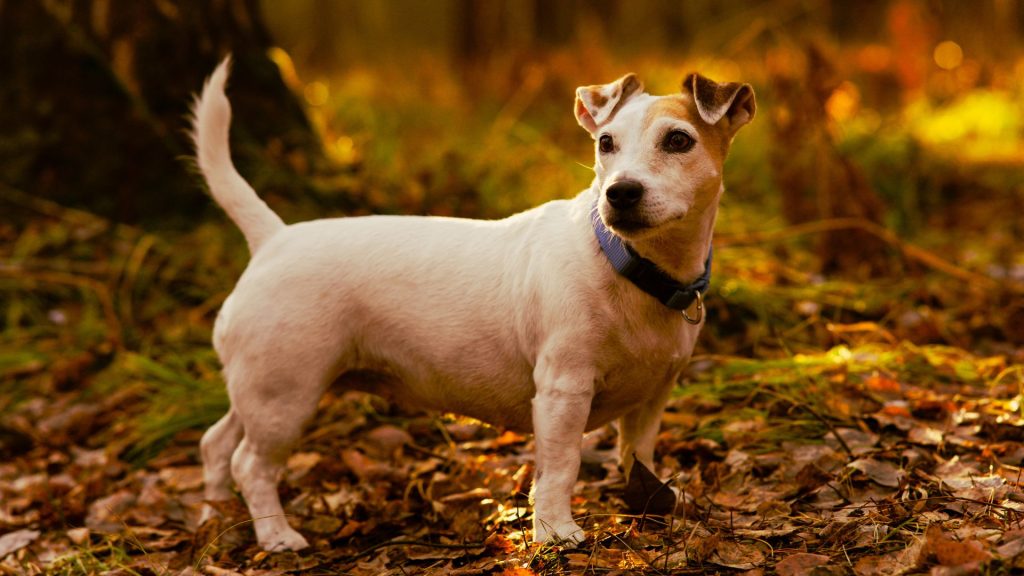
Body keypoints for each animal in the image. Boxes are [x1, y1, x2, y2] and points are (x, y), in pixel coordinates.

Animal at [190, 56, 753, 549]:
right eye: (605, 143)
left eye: (679, 140)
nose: (620, 193)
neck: (627, 264)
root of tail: (273, 238)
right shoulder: (563, 392)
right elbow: (561, 466)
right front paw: (555, 532)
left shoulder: (651, 398)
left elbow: (639, 456)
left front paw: (654, 505)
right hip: (286, 395)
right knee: (249, 463)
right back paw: (274, 535)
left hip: (260, 386)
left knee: (216, 443)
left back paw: (214, 517)